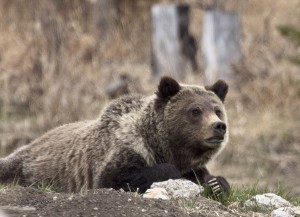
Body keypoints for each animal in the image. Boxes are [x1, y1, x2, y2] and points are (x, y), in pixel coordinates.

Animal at [0, 76, 230, 197]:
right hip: (24, 167)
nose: (219, 126)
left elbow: (208, 178)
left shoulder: (191, 164)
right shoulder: (124, 148)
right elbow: (115, 178)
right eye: (195, 111)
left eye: (217, 110)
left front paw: (216, 184)